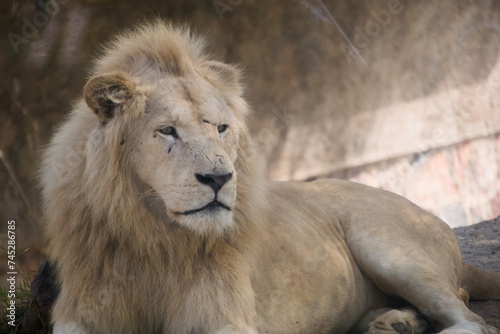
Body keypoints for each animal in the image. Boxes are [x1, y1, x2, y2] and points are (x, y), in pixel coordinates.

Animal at [40, 21, 500, 334]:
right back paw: (390, 322)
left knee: (471, 317)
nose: (219, 178)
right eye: (167, 130)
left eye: (221, 128)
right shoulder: (80, 312)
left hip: (389, 249)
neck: (151, 236)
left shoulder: (226, 317)